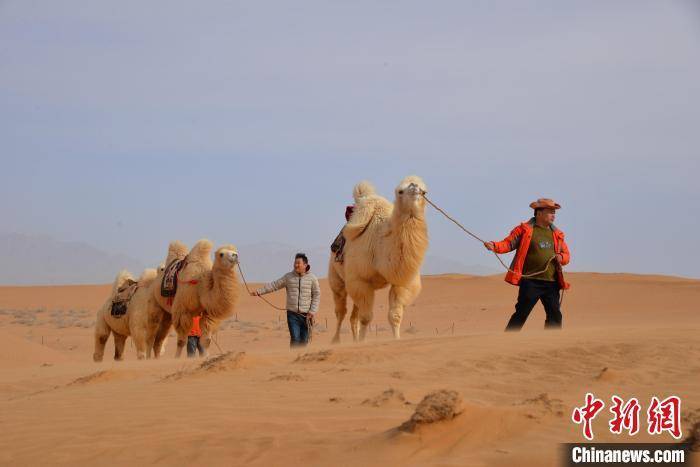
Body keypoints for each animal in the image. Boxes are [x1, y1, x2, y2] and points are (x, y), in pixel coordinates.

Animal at [326, 176, 426, 344]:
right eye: (400, 191)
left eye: (424, 191)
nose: (415, 187)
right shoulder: (359, 280)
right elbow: (366, 318)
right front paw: (362, 341)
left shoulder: (402, 281)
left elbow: (395, 315)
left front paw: (396, 339)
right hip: (336, 278)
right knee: (341, 311)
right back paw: (336, 340)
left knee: (353, 316)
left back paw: (353, 339)